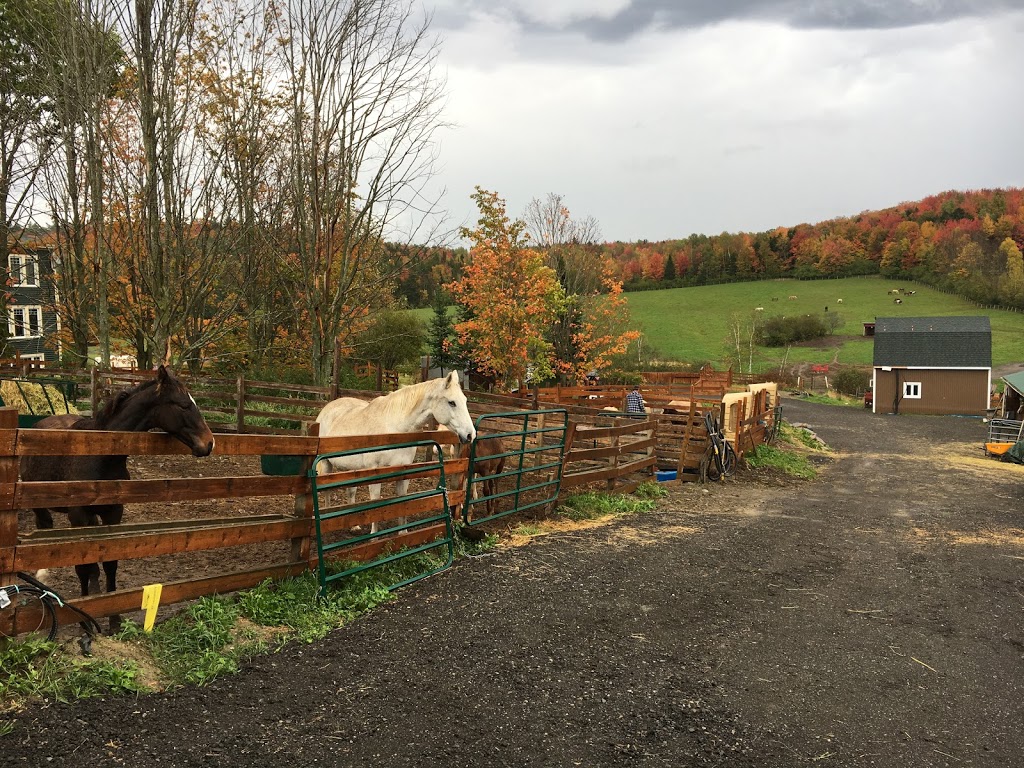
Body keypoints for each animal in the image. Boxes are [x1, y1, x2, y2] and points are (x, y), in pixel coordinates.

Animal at [20, 366, 214, 630]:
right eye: (183, 405)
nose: (209, 443)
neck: (102, 455)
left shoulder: (113, 512)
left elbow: (108, 563)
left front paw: (113, 618)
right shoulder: (78, 516)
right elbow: (82, 566)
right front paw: (85, 622)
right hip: (41, 505)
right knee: (45, 526)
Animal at [315, 370, 475, 528]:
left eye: (465, 401)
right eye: (452, 402)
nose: (470, 434)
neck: (394, 430)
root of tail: (326, 409)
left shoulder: (403, 473)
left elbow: (402, 505)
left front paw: (403, 532)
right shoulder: (374, 474)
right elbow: (375, 507)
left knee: (351, 491)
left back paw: (354, 526)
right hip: (326, 464)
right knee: (327, 491)